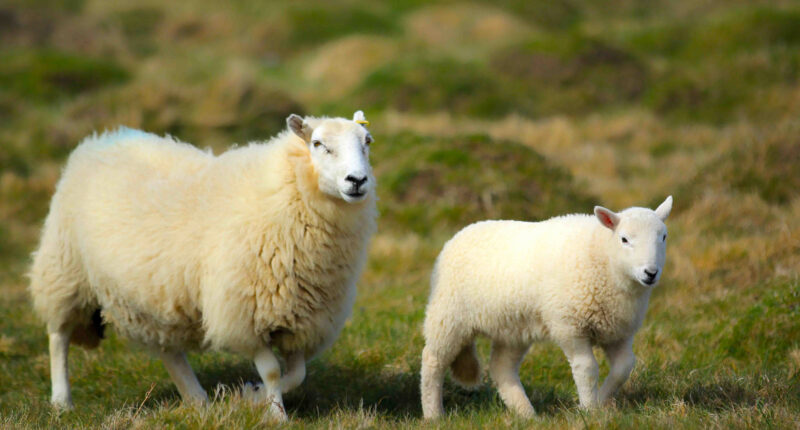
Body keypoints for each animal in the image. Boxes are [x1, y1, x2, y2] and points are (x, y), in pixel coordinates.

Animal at [28, 111, 378, 420]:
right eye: (318, 144)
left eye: (367, 142)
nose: (357, 180)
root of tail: (99, 139)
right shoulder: (243, 312)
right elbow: (273, 372)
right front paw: (276, 414)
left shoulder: (301, 318)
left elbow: (297, 374)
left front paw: (251, 396)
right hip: (65, 269)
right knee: (58, 335)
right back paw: (61, 401)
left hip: (150, 297)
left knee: (169, 351)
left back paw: (197, 399)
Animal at [422, 198, 672, 420]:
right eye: (624, 239)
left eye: (663, 237)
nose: (651, 273)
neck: (603, 258)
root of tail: (460, 234)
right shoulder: (569, 325)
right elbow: (587, 368)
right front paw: (589, 410)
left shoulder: (618, 331)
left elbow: (624, 367)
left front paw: (601, 400)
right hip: (449, 314)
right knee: (433, 360)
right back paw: (434, 415)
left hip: (512, 327)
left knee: (502, 368)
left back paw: (527, 415)